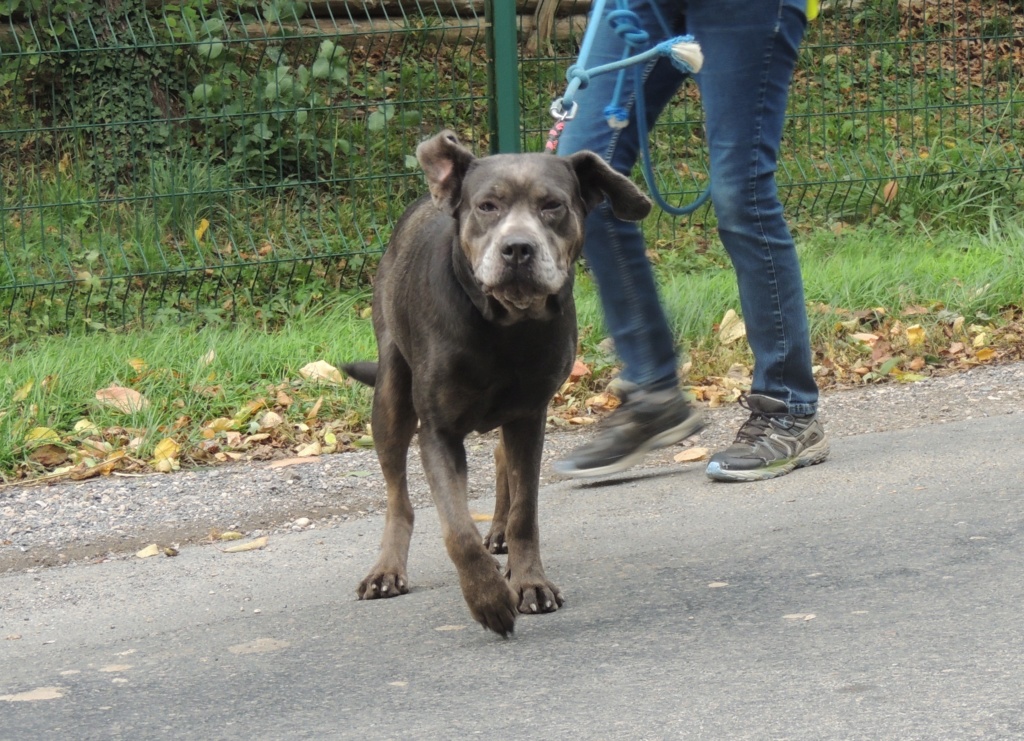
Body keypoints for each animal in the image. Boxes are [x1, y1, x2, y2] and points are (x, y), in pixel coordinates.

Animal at [344, 128, 647, 638]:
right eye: (487, 206)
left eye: (553, 205)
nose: (518, 249)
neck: (506, 324)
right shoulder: (438, 432)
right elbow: (457, 529)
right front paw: (487, 598)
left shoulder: (529, 414)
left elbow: (527, 509)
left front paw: (529, 582)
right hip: (390, 394)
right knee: (398, 496)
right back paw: (387, 569)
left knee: (504, 460)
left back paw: (500, 530)